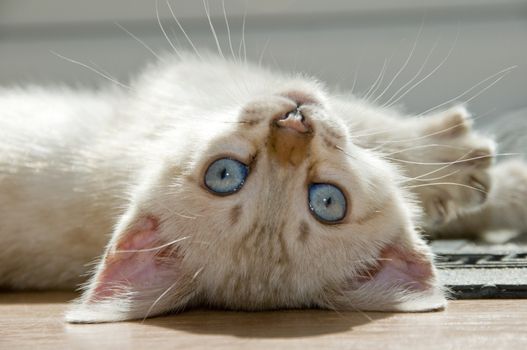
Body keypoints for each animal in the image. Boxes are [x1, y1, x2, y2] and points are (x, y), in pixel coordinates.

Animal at [0, 52, 524, 322]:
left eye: (327, 201)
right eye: (225, 176)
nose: (293, 126)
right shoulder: (190, 78)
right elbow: (375, 130)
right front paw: (465, 159)